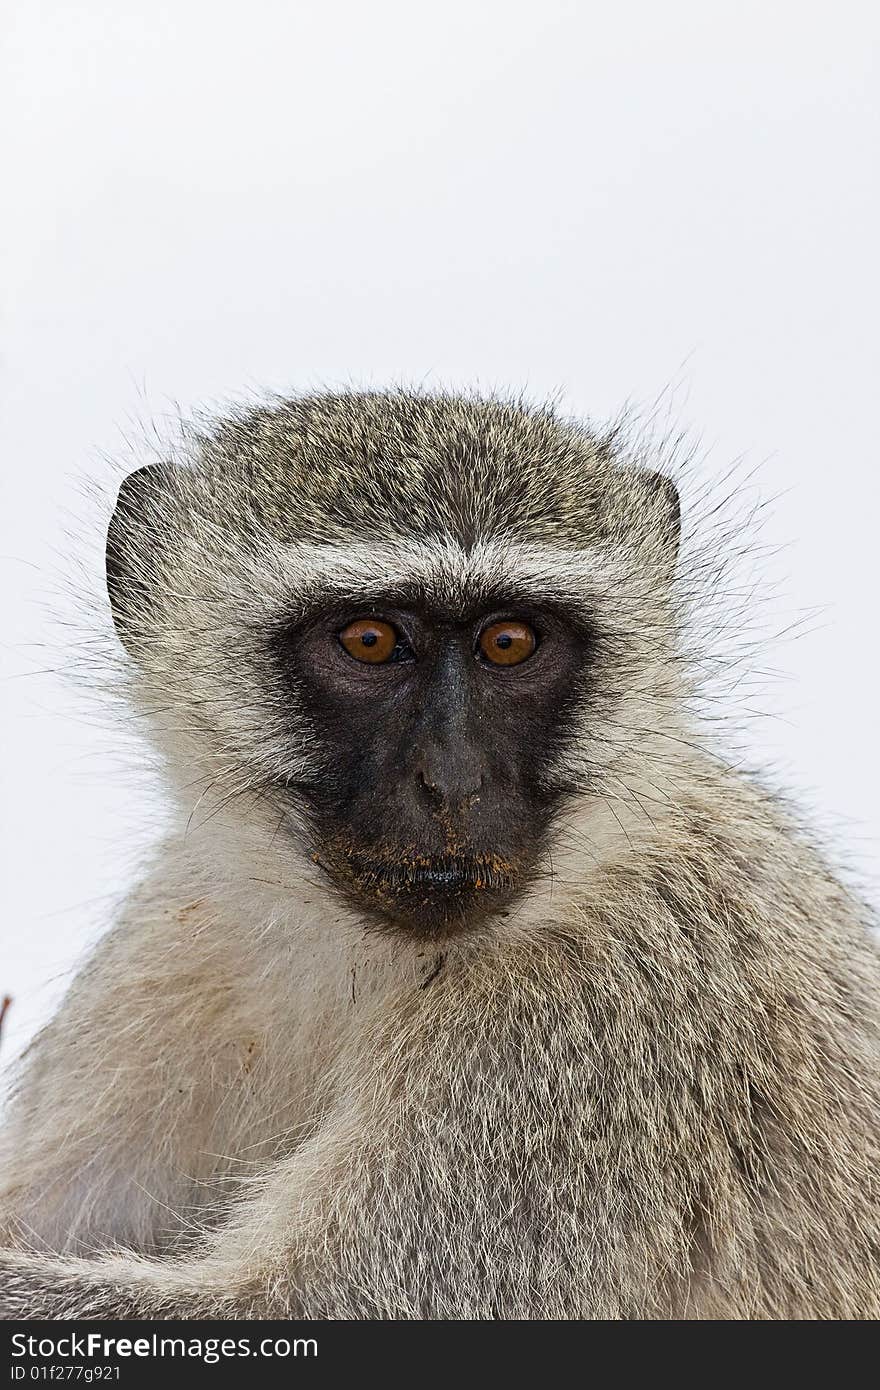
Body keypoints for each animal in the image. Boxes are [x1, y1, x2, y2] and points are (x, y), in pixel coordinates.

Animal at [0, 389, 873, 1312]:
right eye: (371, 640)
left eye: (510, 642)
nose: (452, 781)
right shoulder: (171, 944)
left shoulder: (600, 1022)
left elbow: (311, 1304)